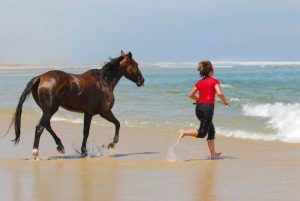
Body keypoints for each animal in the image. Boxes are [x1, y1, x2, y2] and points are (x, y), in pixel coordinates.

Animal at [9, 50, 144, 160]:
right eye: (135, 65)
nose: (142, 81)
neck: (104, 82)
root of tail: (40, 77)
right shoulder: (105, 112)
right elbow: (118, 123)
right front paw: (111, 145)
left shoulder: (88, 113)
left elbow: (86, 132)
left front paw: (84, 152)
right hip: (50, 110)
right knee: (40, 127)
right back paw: (36, 154)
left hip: (47, 110)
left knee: (47, 126)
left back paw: (60, 147)